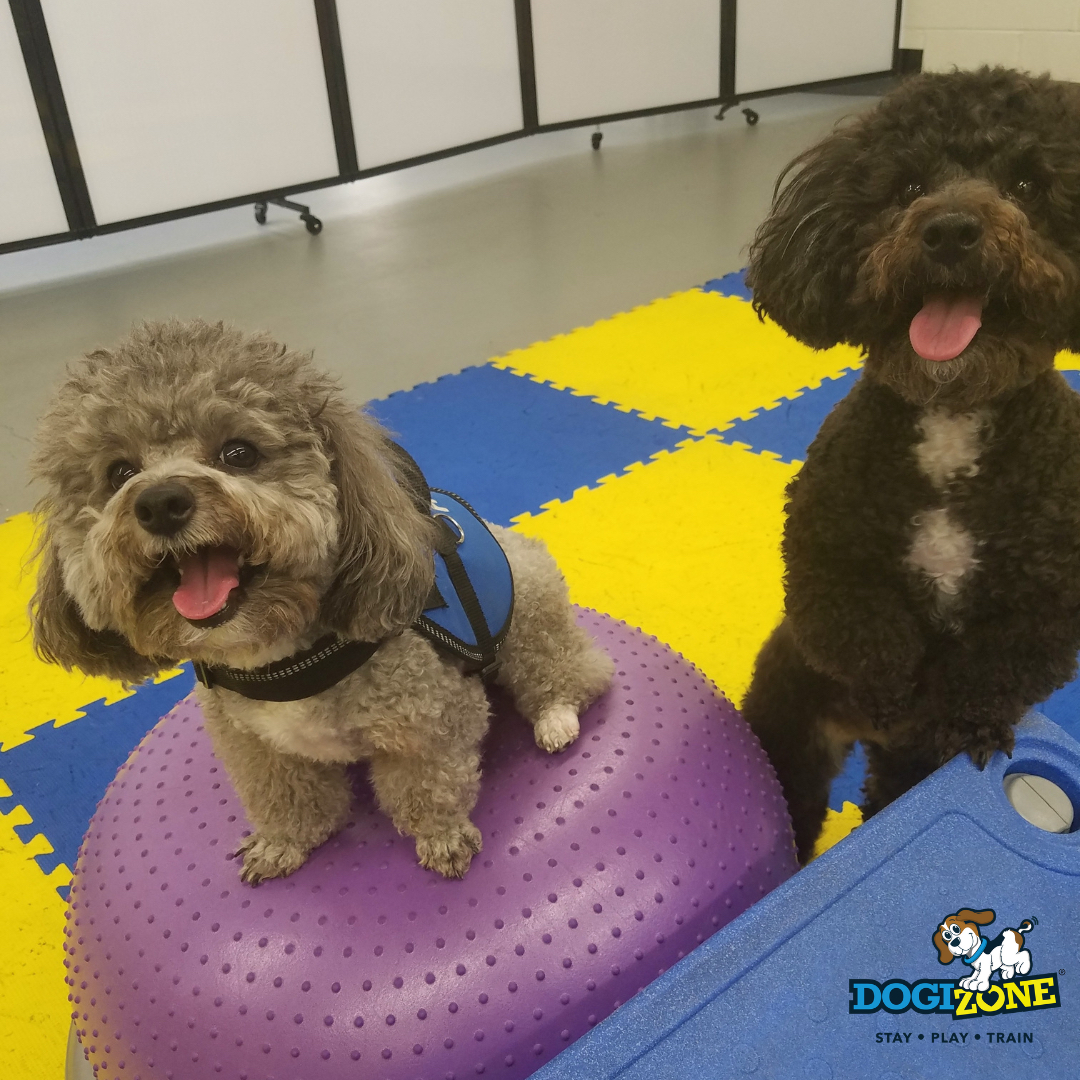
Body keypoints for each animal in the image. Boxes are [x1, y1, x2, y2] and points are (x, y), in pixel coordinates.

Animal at [743, 67, 1080, 859]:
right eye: (907, 187)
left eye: (1028, 184)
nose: (949, 229)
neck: (952, 411)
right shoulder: (826, 555)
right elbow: (866, 630)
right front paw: (894, 690)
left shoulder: (1047, 599)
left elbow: (993, 668)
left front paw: (962, 722)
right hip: (788, 723)